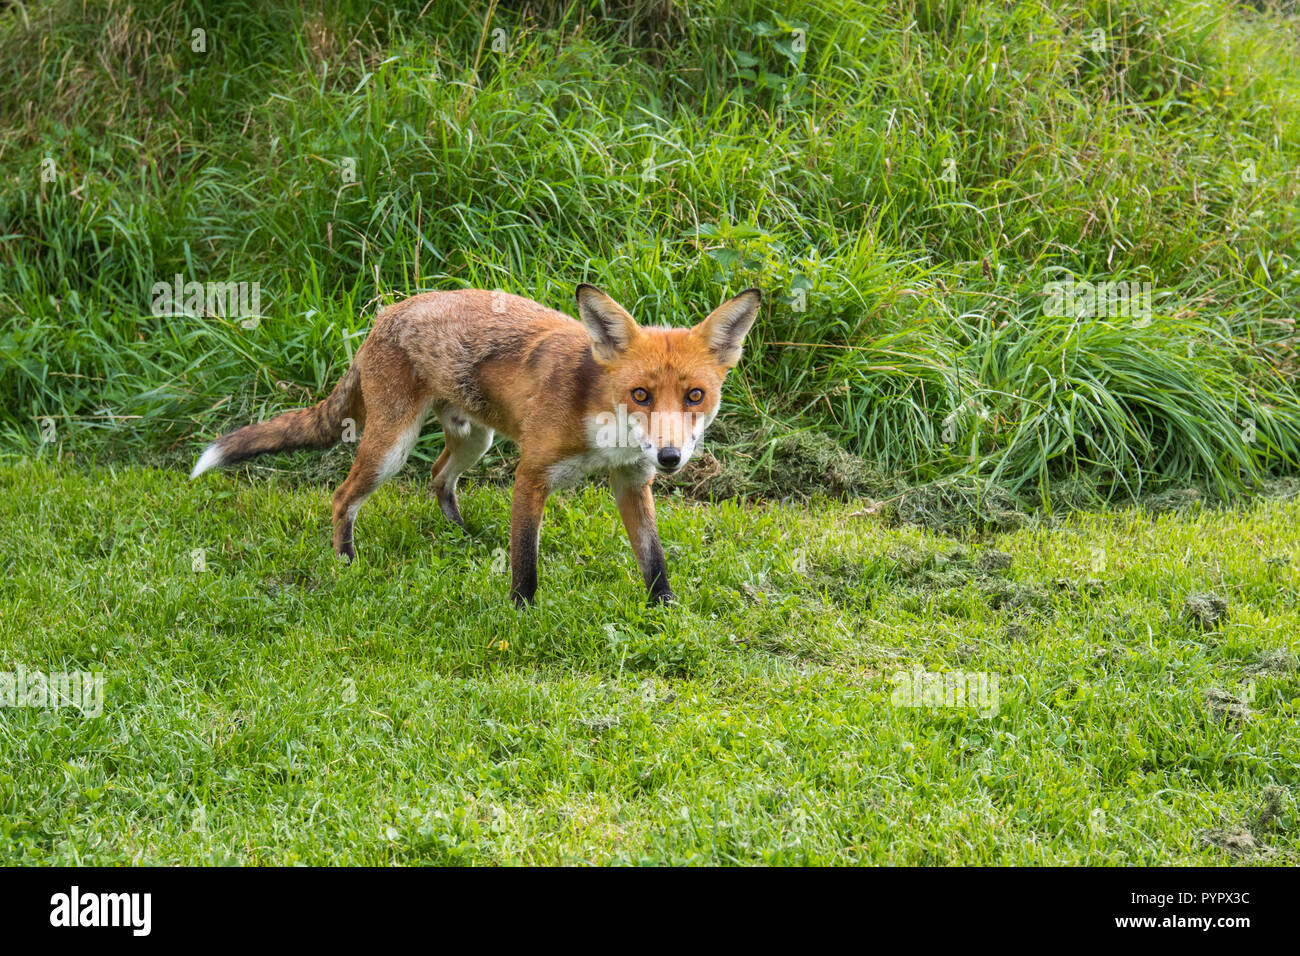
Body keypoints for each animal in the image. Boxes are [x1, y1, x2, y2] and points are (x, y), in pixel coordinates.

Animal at [191, 283, 759, 606]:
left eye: (695, 396)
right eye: (640, 394)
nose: (670, 457)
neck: (604, 427)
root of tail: (384, 314)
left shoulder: (632, 481)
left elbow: (653, 558)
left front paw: (664, 610)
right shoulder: (531, 475)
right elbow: (525, 561)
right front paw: (522, 614)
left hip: (475, 440)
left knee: (439, 477)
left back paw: (462, 536)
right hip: (390, 447)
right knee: (342, 497)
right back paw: (347, 562)